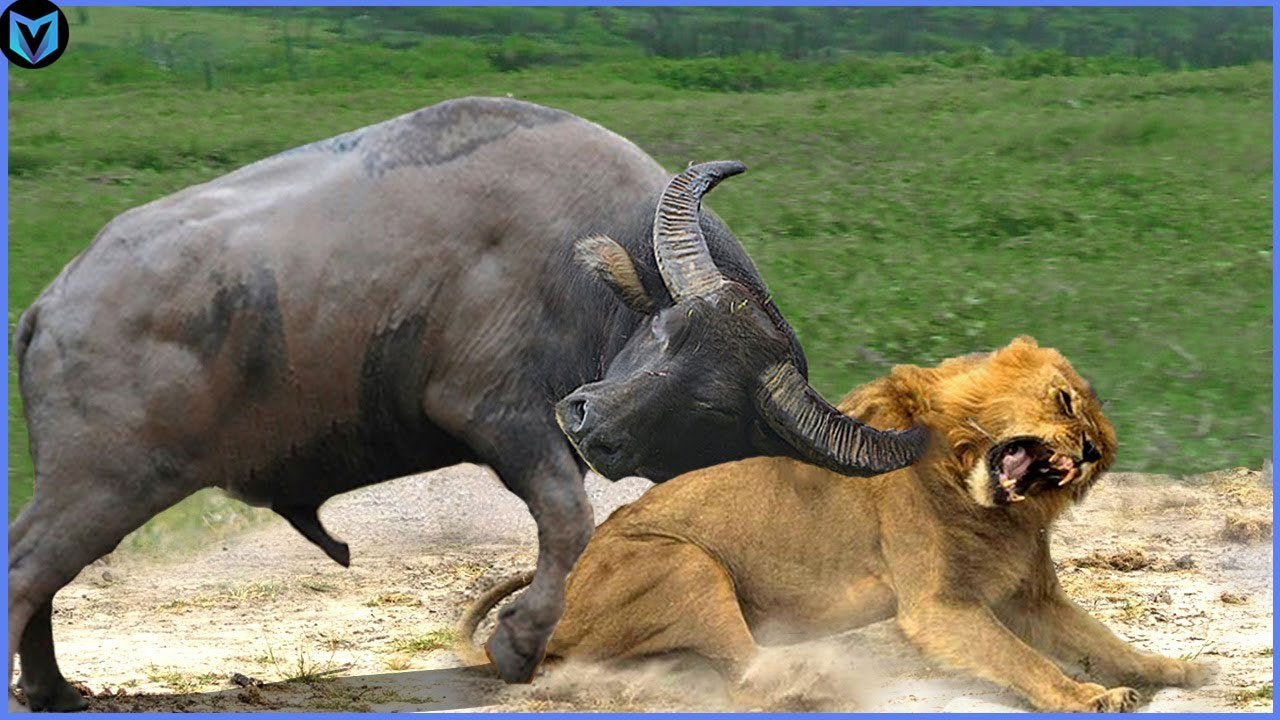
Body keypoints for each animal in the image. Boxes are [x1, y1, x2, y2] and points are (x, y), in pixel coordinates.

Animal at [460, 337, 1211, 712]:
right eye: (1064, 400)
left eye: (1098, 440)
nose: (1086, 451)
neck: (983, 501)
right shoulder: (938, 608)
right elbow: (1023, 660)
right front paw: (1088, 697)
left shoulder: (1031, 598)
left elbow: (1105, 640)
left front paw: (1173, 669)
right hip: (683, 559)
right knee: (747, 675)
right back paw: (811, 682)